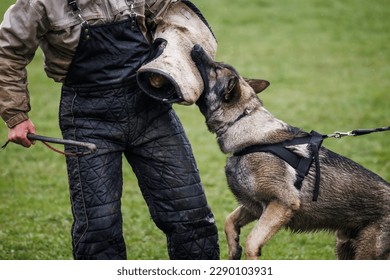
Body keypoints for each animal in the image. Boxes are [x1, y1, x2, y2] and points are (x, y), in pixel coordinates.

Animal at [190, 44, 390, 260]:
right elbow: (229, 220)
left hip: (365, 252)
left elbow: (252, 241)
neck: (244, 124)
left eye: (216, 69)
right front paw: (234, 249)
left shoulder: (281, 204)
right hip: (344, 246)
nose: (197, 47)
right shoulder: (255, 207)